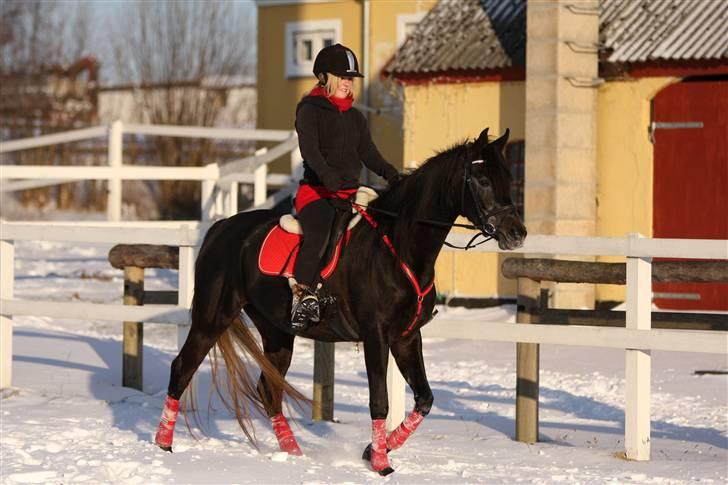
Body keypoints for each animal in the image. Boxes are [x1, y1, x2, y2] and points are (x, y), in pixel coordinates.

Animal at [155, 126, 528, 474]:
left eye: (508, 177)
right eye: (482, 179)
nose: (517, 233)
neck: (399, 246)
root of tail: (220, 228)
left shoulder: (406, 338)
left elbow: (425, 399)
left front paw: (373, 450)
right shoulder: (376, 336)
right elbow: (379, 401)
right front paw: (381, 463)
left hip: (277, 332)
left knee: (268, 390)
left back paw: (293, 454)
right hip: (212, 317)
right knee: (182, 368)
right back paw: (163, 444)